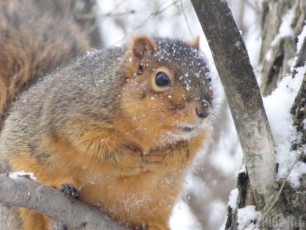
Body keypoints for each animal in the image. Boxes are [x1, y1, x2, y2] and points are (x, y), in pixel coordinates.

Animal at [0, 0, 214, 230]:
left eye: (209, 77)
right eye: (162, 79)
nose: (203, 111)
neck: (146, 133)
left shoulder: (199, 134)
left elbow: (188, 150)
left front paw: (162, 158)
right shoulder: (73, 112)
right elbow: (90, 143)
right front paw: (133, 161)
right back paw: (59, 190)